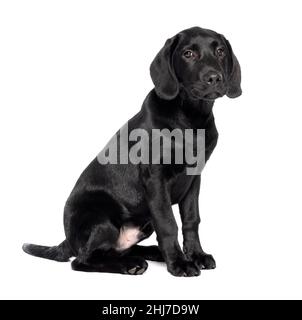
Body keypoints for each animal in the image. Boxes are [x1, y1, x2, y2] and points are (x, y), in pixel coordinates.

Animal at [22, 26, 242, 276]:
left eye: (220, 51)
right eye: (188, 54)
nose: (214, 78)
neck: (190, 118)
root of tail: (68, 239)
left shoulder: (194, 178)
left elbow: (191, 220)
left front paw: (196, 255)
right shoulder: (155, 178)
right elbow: (168, 223)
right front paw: (179, 263)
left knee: (116, 250)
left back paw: (152, 254)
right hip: (100, 217)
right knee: (83, 260)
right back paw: (132, 264)